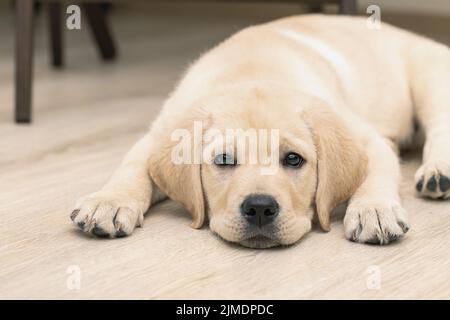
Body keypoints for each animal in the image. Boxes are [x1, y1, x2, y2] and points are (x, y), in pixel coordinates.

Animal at [69, 15, 450, 249]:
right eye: (223, 160)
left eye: (294, 160)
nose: (260, 209)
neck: (253, 69)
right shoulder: (158, 133)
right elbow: (133, 167)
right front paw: (109, 201)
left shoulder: (370, 139)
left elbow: (377, 174)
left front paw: (374, 209)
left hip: (430, 76)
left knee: (439, 123)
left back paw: (437, 173)